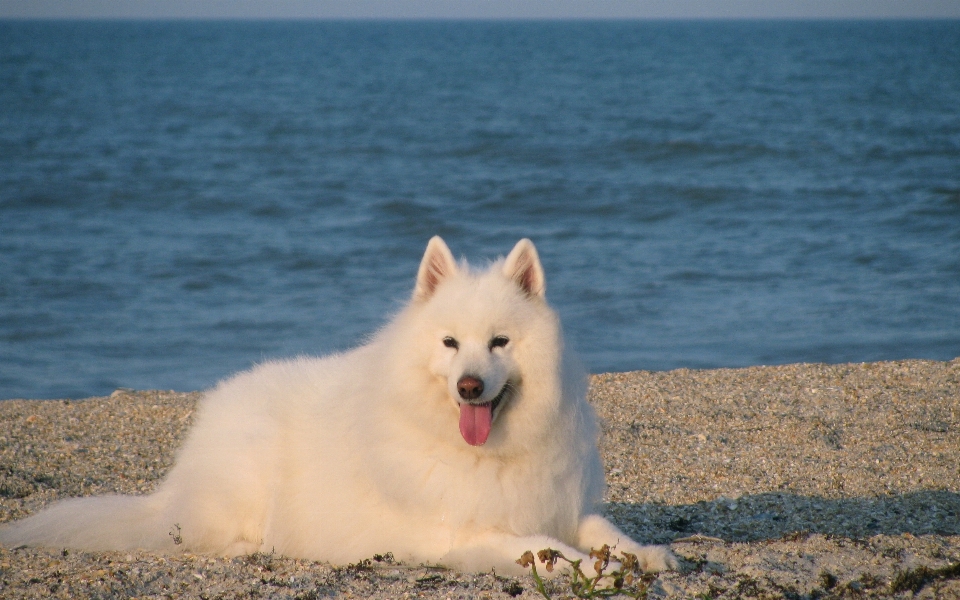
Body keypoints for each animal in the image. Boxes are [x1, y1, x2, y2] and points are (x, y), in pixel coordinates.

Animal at [0, 238, 676, 572]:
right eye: (450, 344)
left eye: (499, 343)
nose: (468, 386)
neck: (489, 453)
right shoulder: (466, 531)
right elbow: (550, 550)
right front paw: (594, 569)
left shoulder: (560, 503)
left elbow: (604, 530)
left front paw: (647, 554)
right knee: (203, 535)